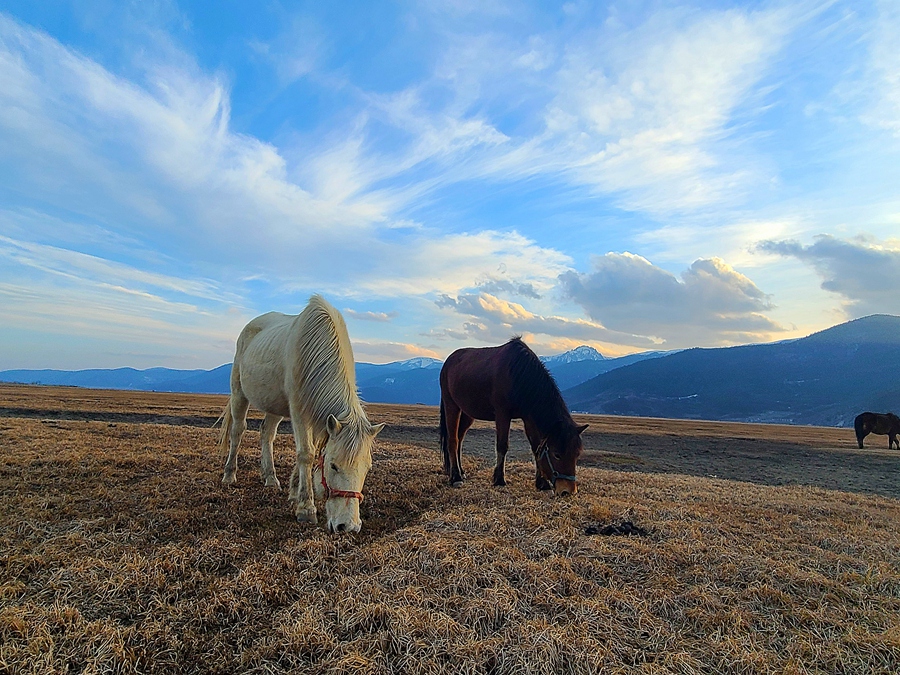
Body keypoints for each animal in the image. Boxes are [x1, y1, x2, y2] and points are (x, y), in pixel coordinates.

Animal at [222, 296, 386, 532]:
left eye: (368, 468)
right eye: (333, 465)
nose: (348, 526)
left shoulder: (319, 416)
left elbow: (312, 450)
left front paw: (294, 491)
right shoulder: (300, 410)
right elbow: (306, 454)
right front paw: (306, 509)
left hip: (275, 403)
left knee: (266, 433)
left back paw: (270, 478)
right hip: (239, 393)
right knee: (237, 430)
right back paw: (229, 474)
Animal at [438, 338, 592, 496]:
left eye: (577, 455)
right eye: (557, 454)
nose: (568, 491)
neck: (518, 375)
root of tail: (449, 361)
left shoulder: (529, 419)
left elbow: (536, 448)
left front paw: (542, 483)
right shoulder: (502, 415)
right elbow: (502, 446)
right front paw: (499, 480)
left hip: (467, 413)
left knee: (460, 438)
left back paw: (461, 472)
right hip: (451, 405)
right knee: (453, 440)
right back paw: (456, 477)